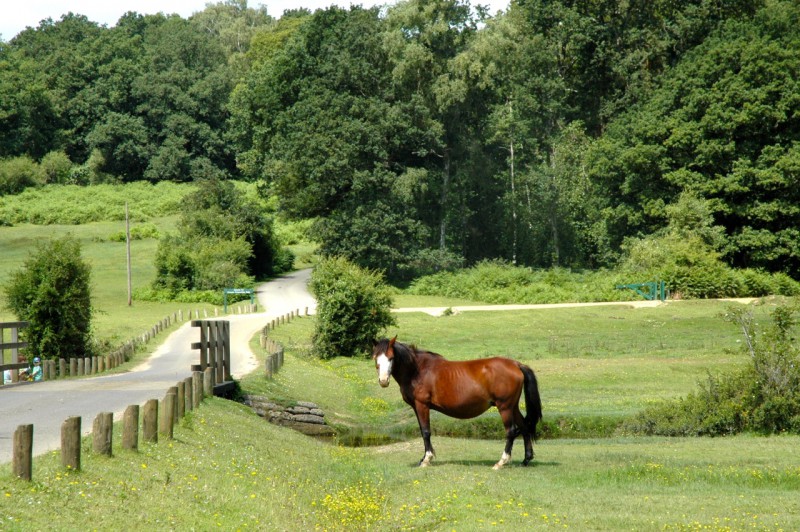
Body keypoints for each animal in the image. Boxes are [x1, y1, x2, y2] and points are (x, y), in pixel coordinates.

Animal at [372, 336, 540, 470]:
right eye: (376, 358)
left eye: (391, 357)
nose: (383, 381)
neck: (417, 370)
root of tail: (516, 364)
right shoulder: (416, 407)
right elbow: (422, 430)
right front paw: (423, 458)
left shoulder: (422, 405)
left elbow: (426, 431)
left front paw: (426, 459)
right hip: (513, 406)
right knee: (524, 427)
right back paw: (526, 459)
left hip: (504, 407)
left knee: (510, 431)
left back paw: (501, 462)